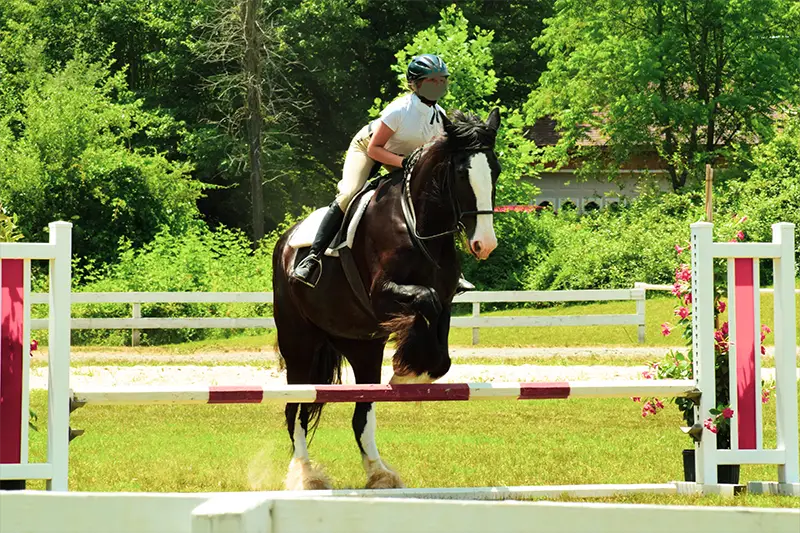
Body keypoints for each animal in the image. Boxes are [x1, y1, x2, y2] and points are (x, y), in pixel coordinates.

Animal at [272, 108, 504, 490]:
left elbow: (440, 344)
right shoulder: (381, 294)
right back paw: (305, 475)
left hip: (362, 346)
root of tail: (286, 241)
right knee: (297, 408)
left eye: (495, 169)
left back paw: (379, 472)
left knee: (361, 412)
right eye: (461, 173)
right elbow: (425, 301)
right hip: (299, 343)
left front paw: (413, 371)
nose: (484, 244)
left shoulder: (444, 297)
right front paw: (407, 372)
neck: (418, 223)